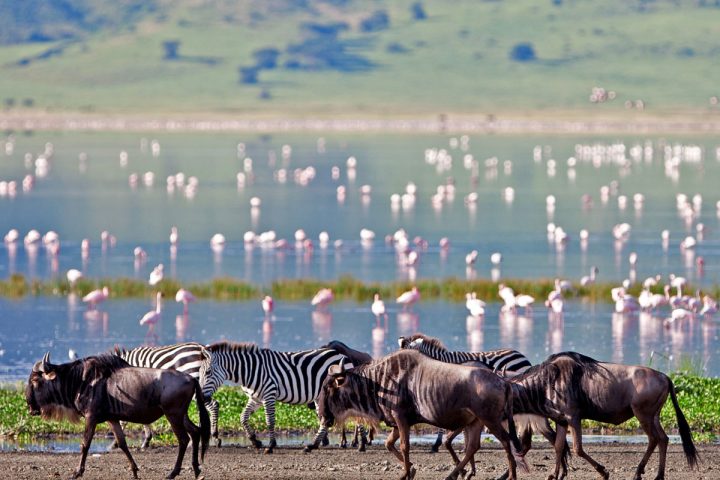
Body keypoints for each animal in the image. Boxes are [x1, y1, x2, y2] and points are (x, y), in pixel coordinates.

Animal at [200, 342, 352, 454]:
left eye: (208, 372)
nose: (202, 397)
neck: (250, 370)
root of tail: (341, 354)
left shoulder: (269, 394)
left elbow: (270, 421)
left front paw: (271, 446)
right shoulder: (255, 398)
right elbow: (243, 417)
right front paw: (255, 441)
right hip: (320, 396)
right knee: (325, 419)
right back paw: (312, 445)